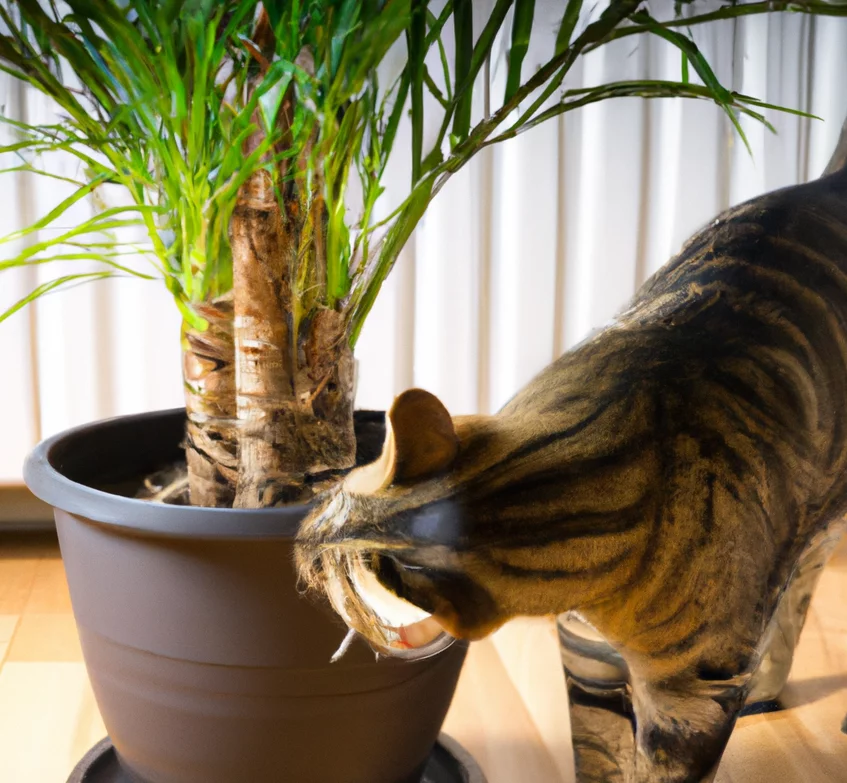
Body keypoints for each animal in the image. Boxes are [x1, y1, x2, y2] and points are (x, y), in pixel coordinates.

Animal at [296, 130, 847, 783]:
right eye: (326, 505)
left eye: (334, 580)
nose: (296, 543)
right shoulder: (588, 660)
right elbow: (598, 752)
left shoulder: (690, 707)